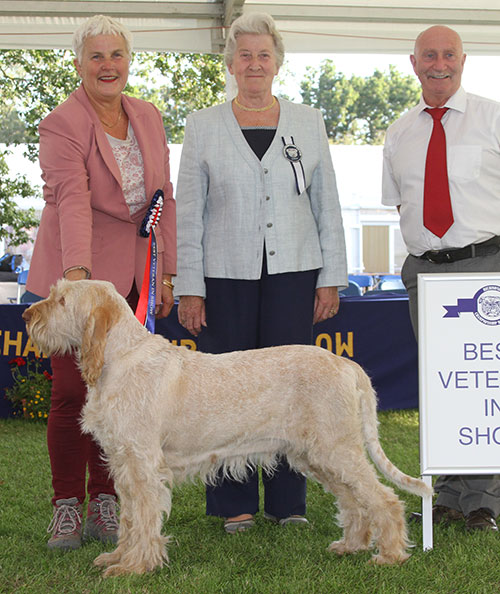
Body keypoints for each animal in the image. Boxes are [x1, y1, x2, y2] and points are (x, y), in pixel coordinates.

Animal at [22, 280, 430, 576]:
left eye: (61, 300)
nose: (26, 315)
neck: (118, 357)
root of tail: (345, 363)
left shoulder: (142, 466)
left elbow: (144, 519)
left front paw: (135, 567)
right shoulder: (124, 465)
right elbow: (128, 519)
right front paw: (118, 557)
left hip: (337, 450)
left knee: (384, 499)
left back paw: (391, 555)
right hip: (317, 456)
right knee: (354, 501)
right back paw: (351, 545)